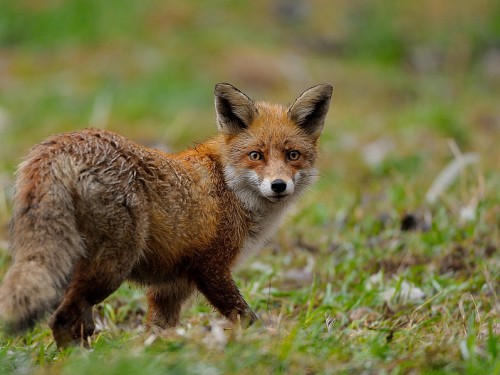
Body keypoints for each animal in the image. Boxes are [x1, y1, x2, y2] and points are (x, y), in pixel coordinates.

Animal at [0, 82, 332, 346]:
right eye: (256, 155)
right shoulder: (211, 269)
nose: (279, 185)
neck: (229, 187)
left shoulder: (172, 287)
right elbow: (246, 317)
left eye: (292, 155)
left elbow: (158, 330)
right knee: (62, 320)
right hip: (111, 267)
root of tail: (61, 142)